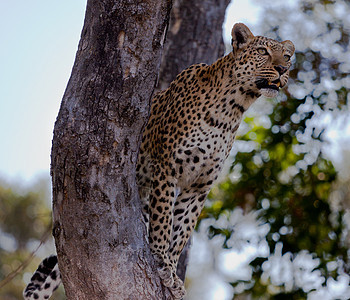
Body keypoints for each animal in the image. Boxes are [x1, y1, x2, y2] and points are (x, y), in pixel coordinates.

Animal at [23, 24, 294, 300]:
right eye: (263, 51)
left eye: (287, 56)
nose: (283, 69)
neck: (233, 109)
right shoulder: (167, 168)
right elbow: (163, 220)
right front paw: (162, 261)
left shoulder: (200, 185)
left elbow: (182, 228)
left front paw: (172, 271)